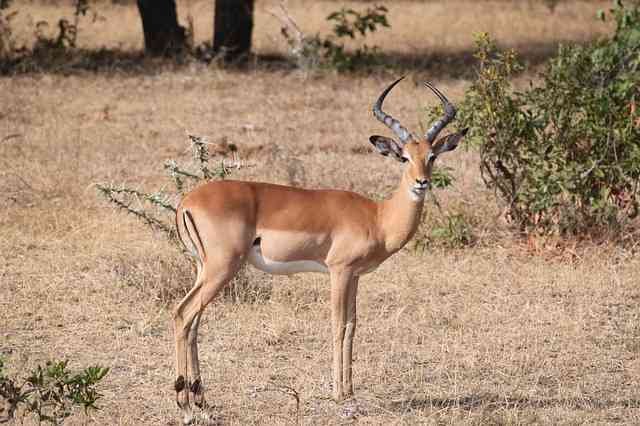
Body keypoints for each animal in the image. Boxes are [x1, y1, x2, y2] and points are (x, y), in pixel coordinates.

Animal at [173, 76, 467, 421]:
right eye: (404, 157)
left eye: (432, 156)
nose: (421, 182)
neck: (378, 217)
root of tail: (187, 201)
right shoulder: (339, 271)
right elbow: (338, 326)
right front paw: (340, 395)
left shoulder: (355, 276)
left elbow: (352, 326)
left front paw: (350, 392)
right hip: (222, 268)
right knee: (183, 314)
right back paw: (184, 404)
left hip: (204, 269)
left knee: (193, 322)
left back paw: (201, 399)